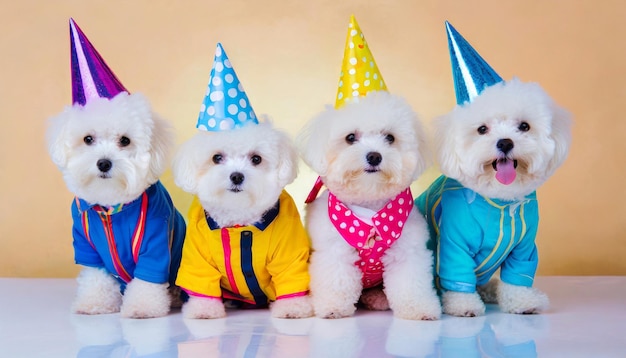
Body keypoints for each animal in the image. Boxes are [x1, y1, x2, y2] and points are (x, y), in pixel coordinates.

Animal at [46, 93, 185, 318]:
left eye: (125, 140)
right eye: (88, 139)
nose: (103, 163)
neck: (112, 208)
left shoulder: (155, 241)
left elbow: (147, 280)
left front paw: (142, 307)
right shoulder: (87, 246)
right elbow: (95, 278)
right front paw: (94, 303)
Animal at [172, 122, 312, 318]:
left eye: (256, 159)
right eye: (217, 158)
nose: (237, 176)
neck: (238, 221)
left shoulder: (288, 251)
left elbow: (289, 275)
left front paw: (292, 307)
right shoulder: (198, 254)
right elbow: (201, 280)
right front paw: (204, 309)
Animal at [296, 91, 438, 320]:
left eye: (390, 137)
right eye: (350, 138)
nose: (374, 156)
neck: (369, 207)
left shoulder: (408, 252)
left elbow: (411, 284)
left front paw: (420, 308)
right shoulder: (334, 252)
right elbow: (337, 280)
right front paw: (333, 307)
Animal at [414, 79, 572, 316]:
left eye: (524, 126)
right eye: (482, 129)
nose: (505, 143)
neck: (501, 202)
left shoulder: (524, 247)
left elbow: (517, 275)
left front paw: (522, 302)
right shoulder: (454, 243)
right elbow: (458, 274)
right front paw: (464, 305)